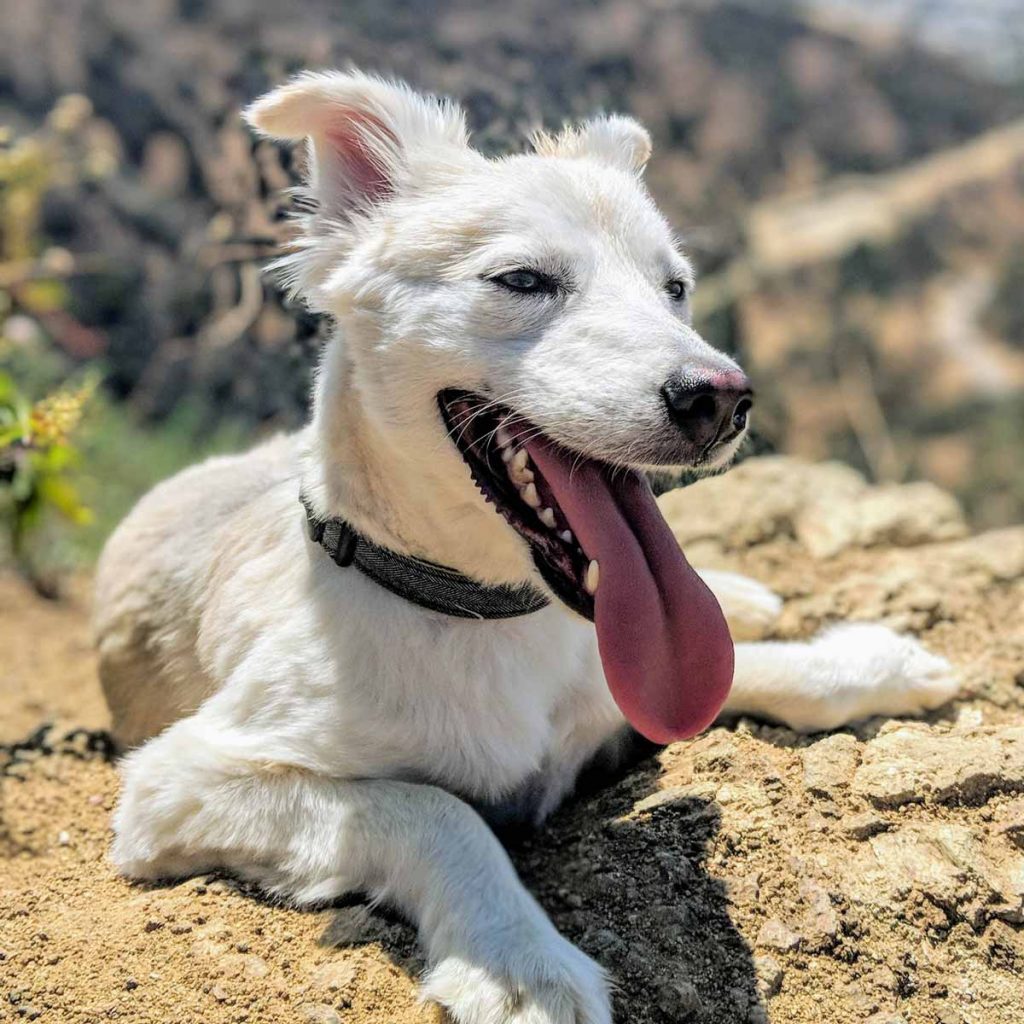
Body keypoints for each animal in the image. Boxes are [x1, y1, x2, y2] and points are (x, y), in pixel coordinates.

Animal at [92, 72, 954, 1024]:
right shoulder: (180, 783)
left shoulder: (617, 694)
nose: (722, 398)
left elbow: (737, 672)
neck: (490, 619)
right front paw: (520, 965)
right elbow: (434, 810)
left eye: (675, 288)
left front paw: (871, 663)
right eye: (523, 279)